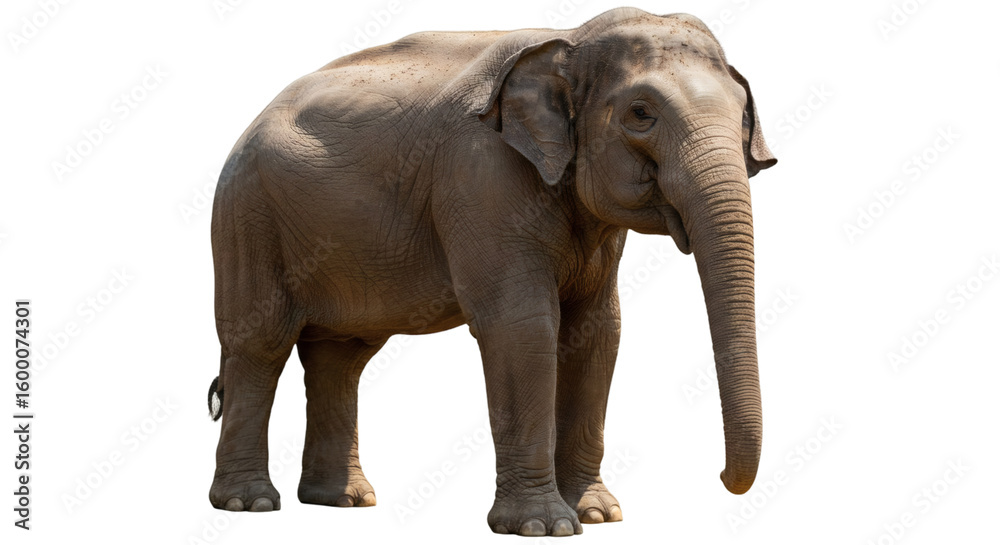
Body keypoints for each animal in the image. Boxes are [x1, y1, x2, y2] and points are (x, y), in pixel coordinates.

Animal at [206, 7, 776, 537]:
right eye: (641, 113)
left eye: (742, 113)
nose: (723, 478)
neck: (568, 38)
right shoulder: (481, 176)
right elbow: (522, 326)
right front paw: (545, 526)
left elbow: (597, 332)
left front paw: (597, 515)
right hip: (247, 218)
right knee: (260, 345)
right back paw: (249, 504)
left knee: (340, 357)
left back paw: (344, 501)